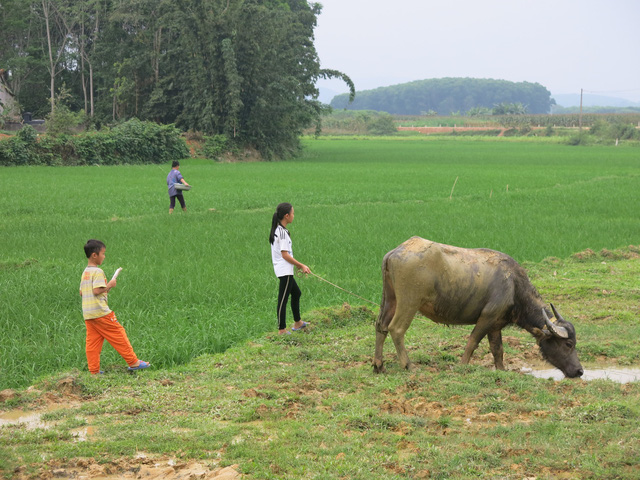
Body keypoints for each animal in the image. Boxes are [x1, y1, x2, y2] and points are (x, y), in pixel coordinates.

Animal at [372, 238, 584, 376]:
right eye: (568, 344)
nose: (580, 371)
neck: (514, 287)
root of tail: (394, 253)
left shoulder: (496, 325)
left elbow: (497, 349)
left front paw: (501, 370)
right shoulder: (487, 317)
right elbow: (473, 341)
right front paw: (463, 365)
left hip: (390, 299)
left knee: (381, 326)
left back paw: (379, 366)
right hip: (409, 302)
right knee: (396, 329)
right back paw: (408, 366)